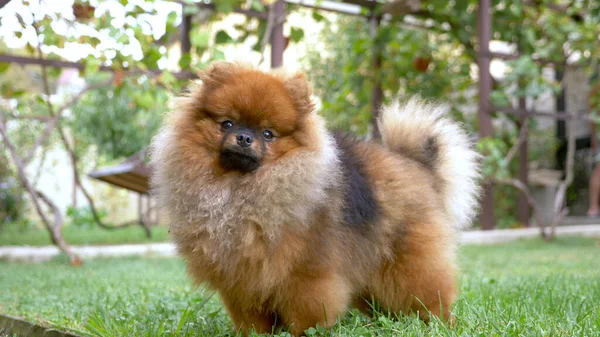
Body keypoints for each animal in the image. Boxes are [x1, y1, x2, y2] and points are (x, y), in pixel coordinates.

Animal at [150, 61, 478, 334]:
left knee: (428, 293)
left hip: (409, 261)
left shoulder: (305, 274)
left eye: (268, 133)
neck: (240, 191)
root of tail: (416, 165)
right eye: (226, 123)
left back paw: (440, 323)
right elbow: (251, 318)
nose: (244, 137)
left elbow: (307, 313)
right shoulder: (242, 280)